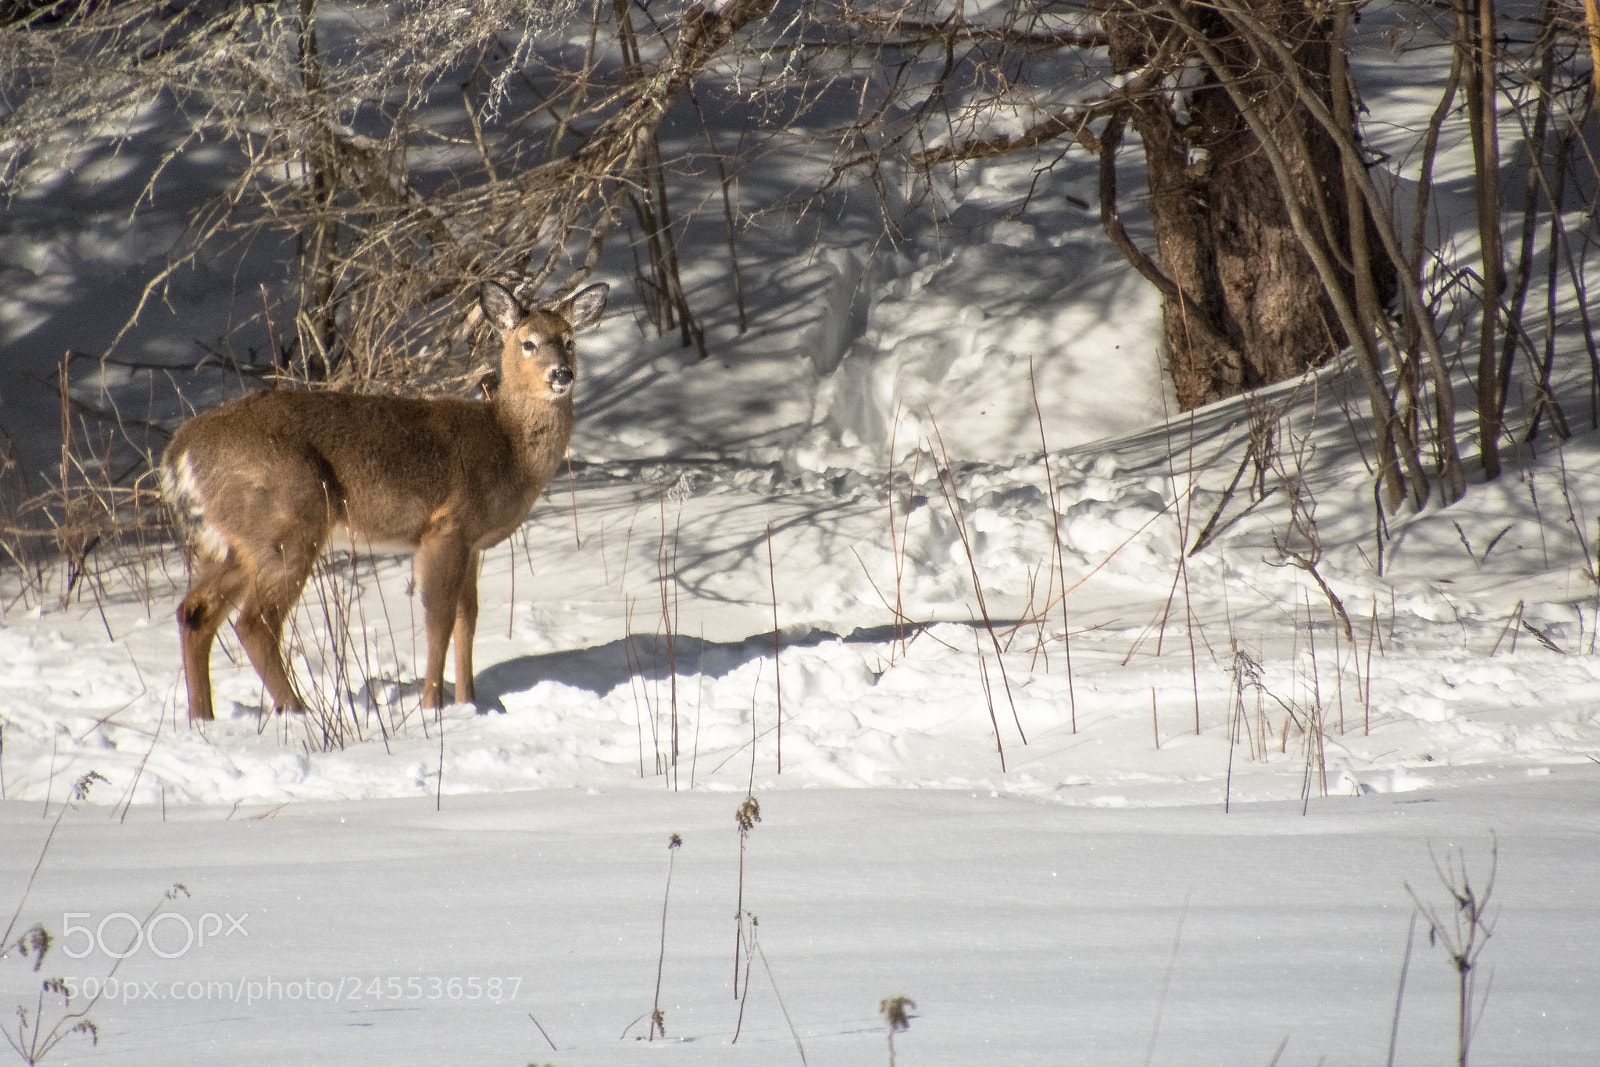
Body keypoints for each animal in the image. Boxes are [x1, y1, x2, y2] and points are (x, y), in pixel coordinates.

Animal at [161, 280, 608, 722]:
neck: (507, 446)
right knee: (255, 622)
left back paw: (203, 719)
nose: (562, 374)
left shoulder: (472, 543)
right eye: (528, 343)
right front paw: (433, 707)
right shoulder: (447, 528)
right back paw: (299, 712)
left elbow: (469, 618)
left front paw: (470, 704)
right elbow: (439, 619)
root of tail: (179, 453)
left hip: (230, 540)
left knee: (195, 612)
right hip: (287, 522)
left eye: (569, 340)